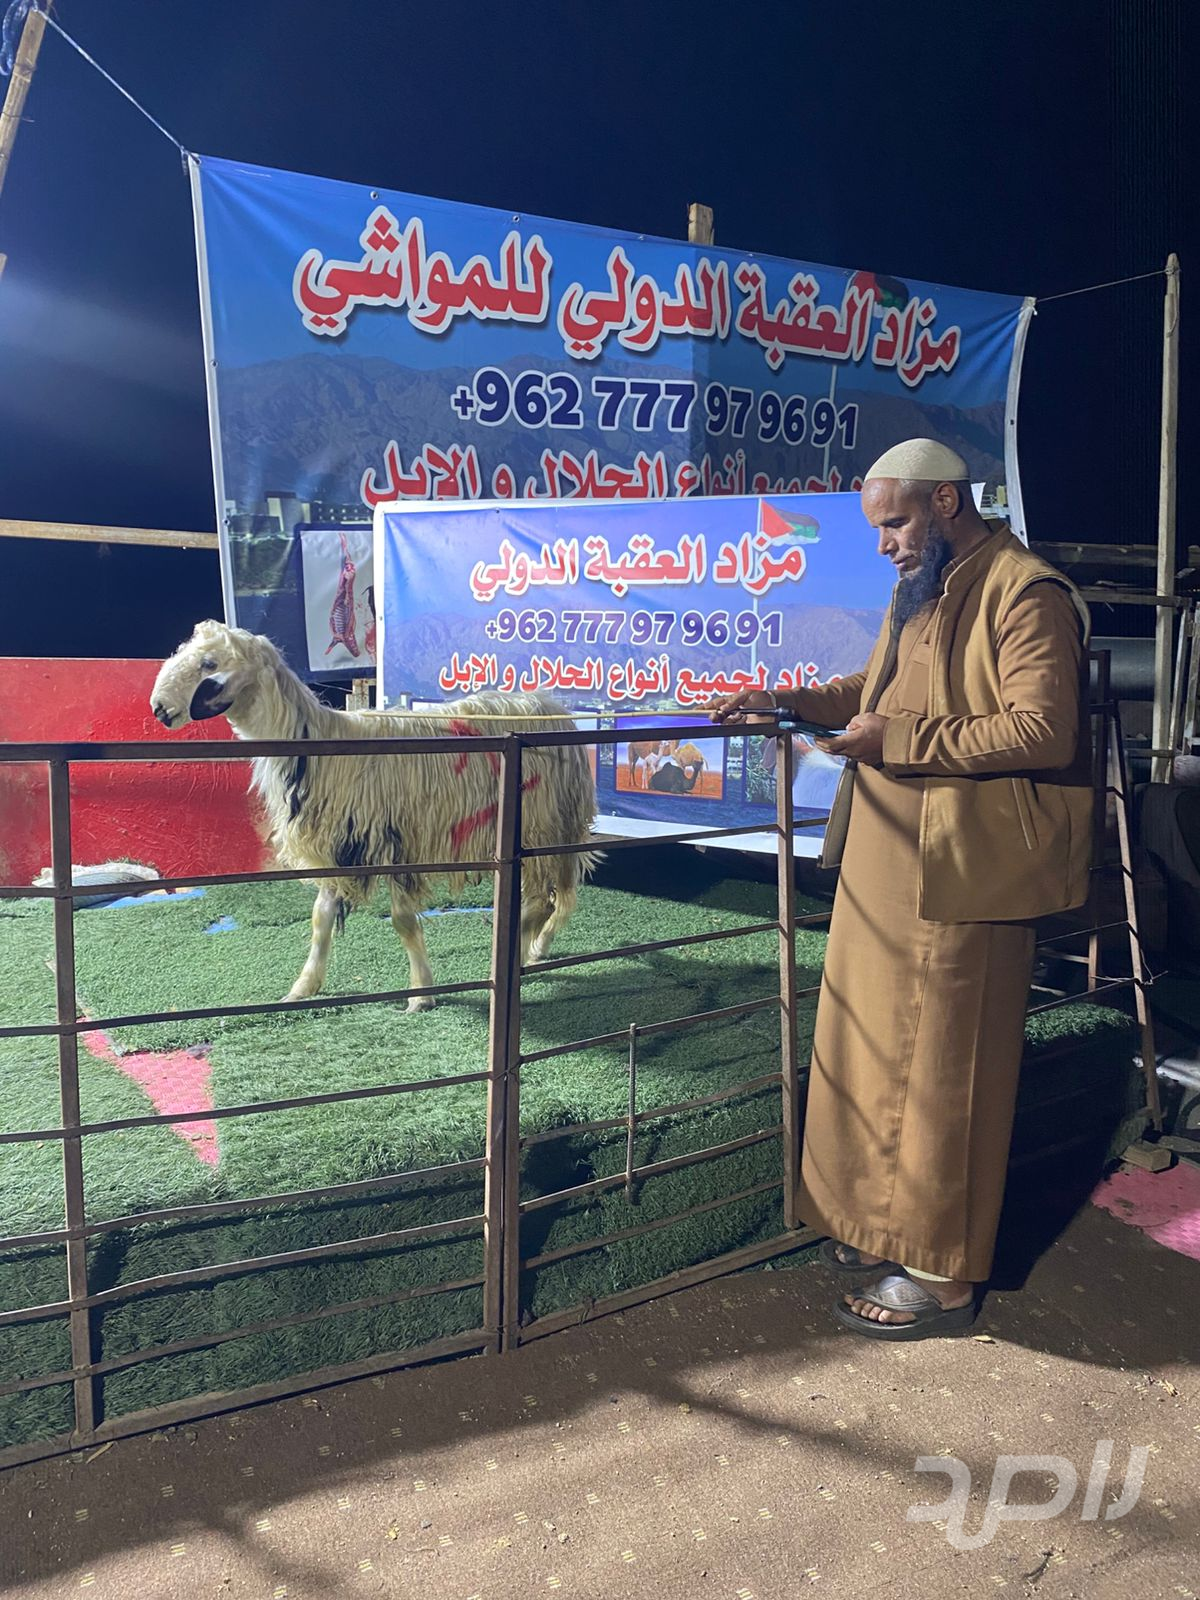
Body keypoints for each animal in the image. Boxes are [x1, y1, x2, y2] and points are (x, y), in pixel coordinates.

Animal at [150, 620, 599, 1010]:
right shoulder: (336, 846)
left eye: (210, 664)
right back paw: (536, 949)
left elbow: (402, 921)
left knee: (541, 898)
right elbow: (320, 919)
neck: (321, 744)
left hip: (539, 824)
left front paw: (421, 994)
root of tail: (551, 705)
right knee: (557, 898)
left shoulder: (397, 840)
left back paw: (521, 952)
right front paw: (303, 987)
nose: (158, 709)